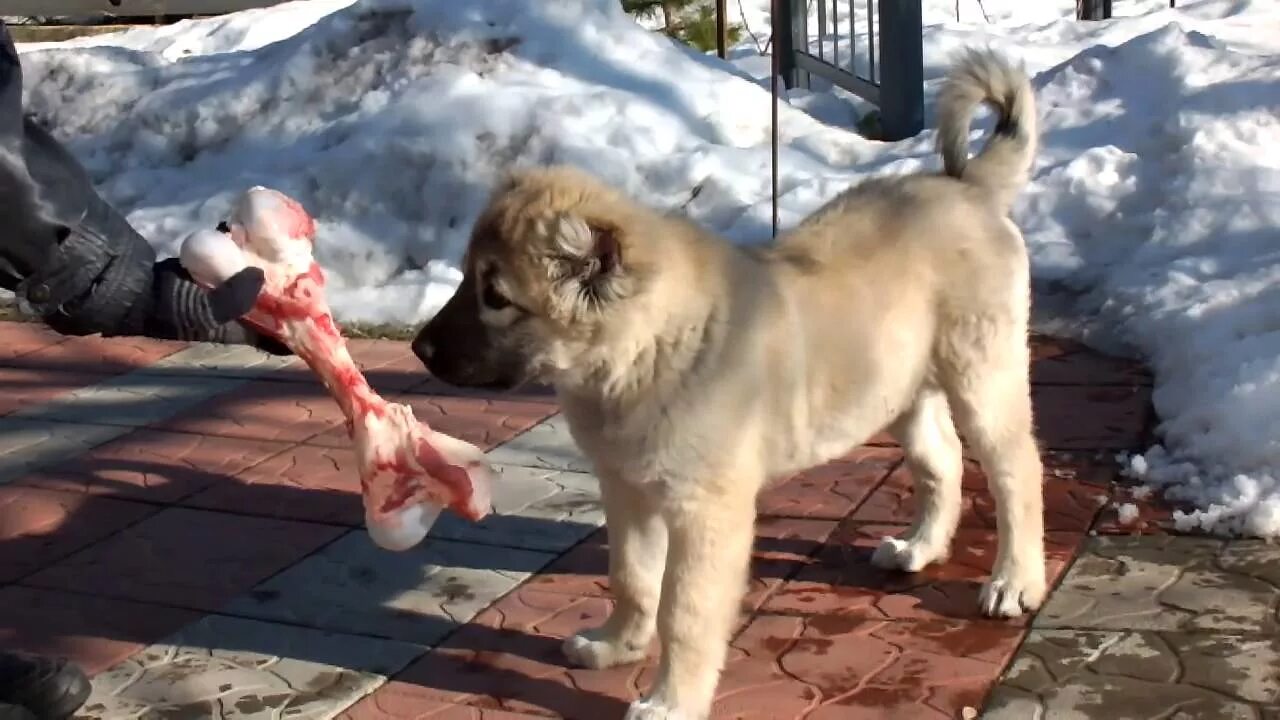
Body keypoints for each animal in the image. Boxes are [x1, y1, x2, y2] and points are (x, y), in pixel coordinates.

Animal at [414, 47, 1044, 712]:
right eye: (467, 279)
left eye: (497, 296)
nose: (418, 349)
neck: (643, 353)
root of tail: (967, 188)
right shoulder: (628, 490)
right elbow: (631, 578)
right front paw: (617, 646)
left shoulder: (706, 510)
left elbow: (684, 611)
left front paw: (671, 701)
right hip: (900, 389)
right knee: (941, 461)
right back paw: (919, 548)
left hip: (984, 376)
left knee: (1016, 473)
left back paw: (1014, 581)